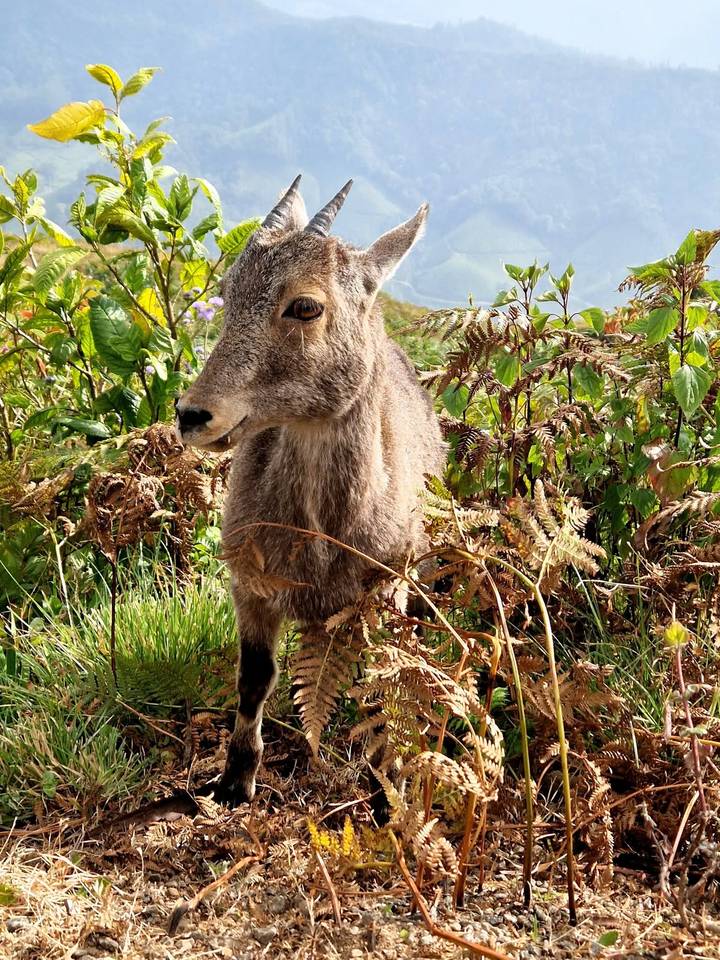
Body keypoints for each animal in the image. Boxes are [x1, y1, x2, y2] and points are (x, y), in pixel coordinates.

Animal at [176, 175, 445, 805]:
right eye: (228, 291)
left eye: (305, 305)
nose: (192, 414)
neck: (323, 537)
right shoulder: (249, 584)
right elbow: (255, 678)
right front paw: (236, 779)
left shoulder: (387, 589)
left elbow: (383, 682)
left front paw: (388, 787)